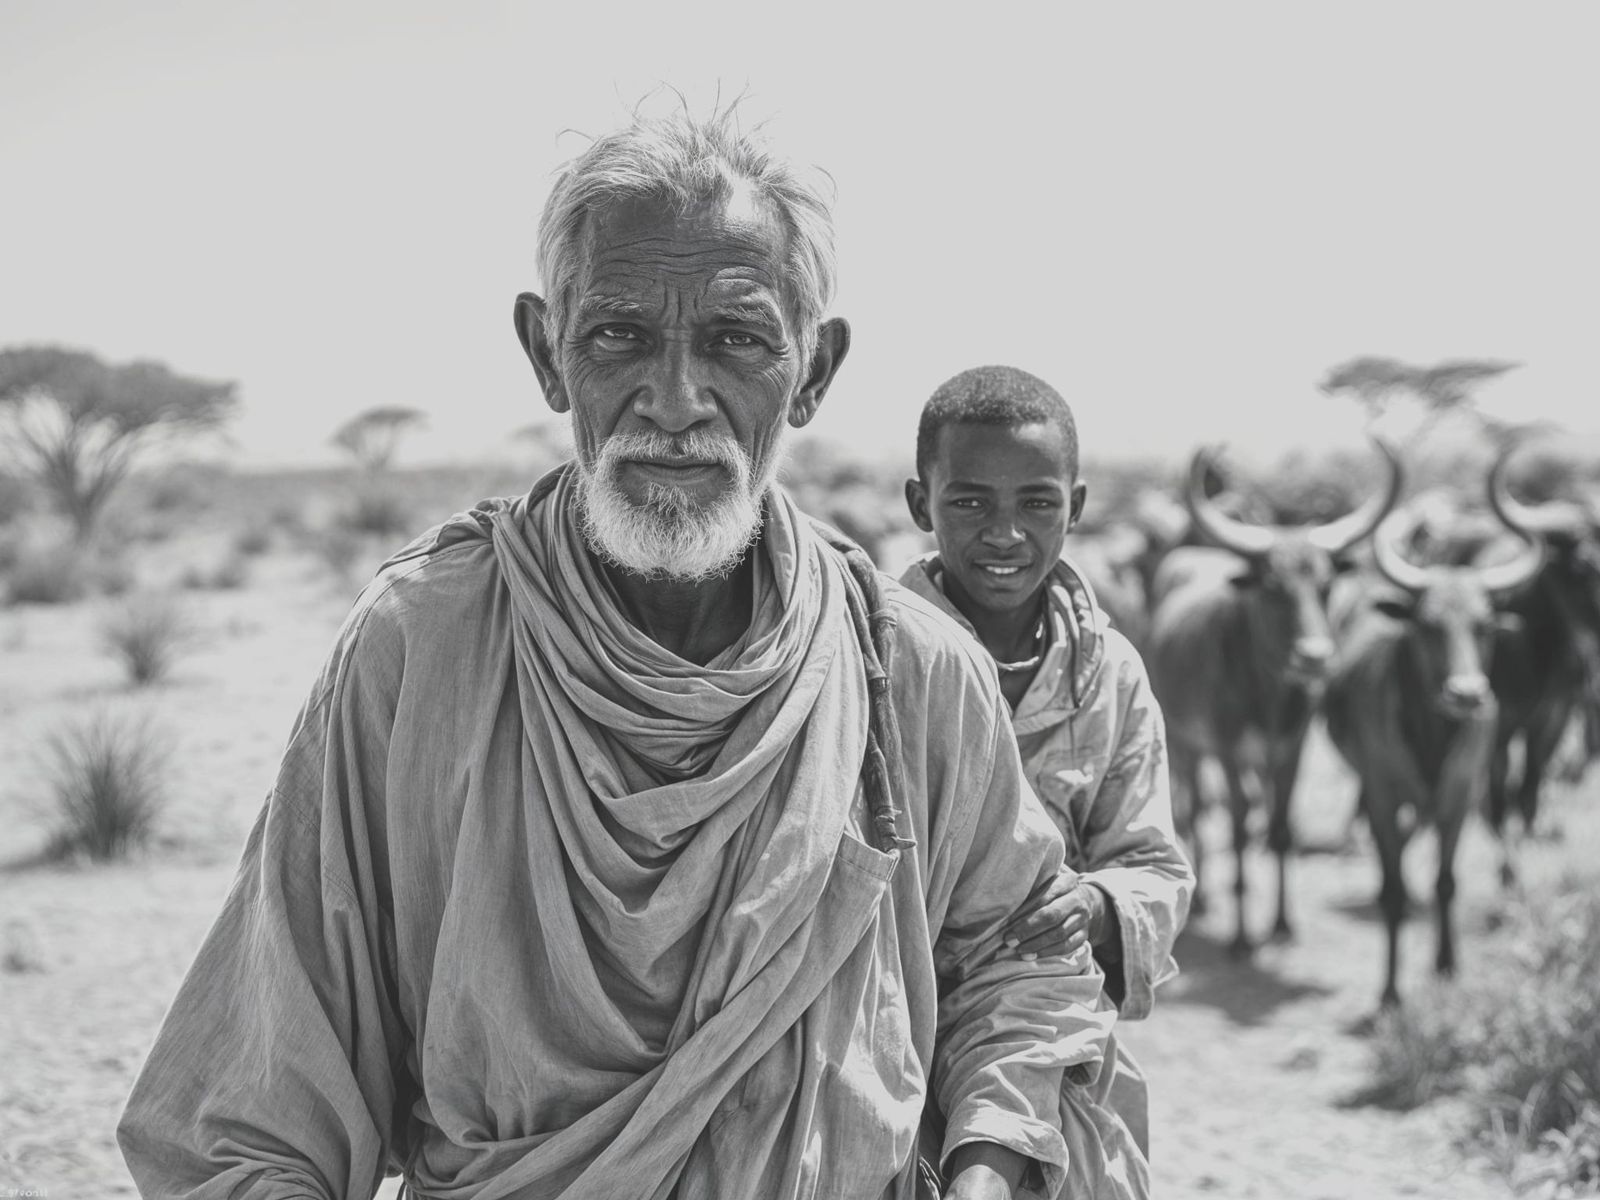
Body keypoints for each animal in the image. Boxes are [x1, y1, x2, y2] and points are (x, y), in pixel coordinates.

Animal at [1146, 438, 1402, 955]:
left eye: (1325, 586)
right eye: (1273, 588)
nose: (1315, 658)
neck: (1266, 695)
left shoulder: (1290, 749)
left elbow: (1282, 828)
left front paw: (1282, 924)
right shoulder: (1225, 749)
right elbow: (1239, 829)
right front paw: (1243, 936)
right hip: (1184, 743)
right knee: (1196, 810)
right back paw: (1204, 900)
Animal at [1322, 504, 1542, 1007]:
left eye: (1483, 625)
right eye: (1428, 626)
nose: (1466, 694)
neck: (1430, 739)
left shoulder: (1459, 798)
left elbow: (1445, 882)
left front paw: (1446, 965)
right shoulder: (1383, 797)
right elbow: (1393, 891)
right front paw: (1389, 991)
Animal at [1479, 438, 1600, 884]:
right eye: (1584, 566)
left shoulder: (1555, 716)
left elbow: (1529, 788)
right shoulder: (1498, 720)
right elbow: (1499, 790)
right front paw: (1505, 866)